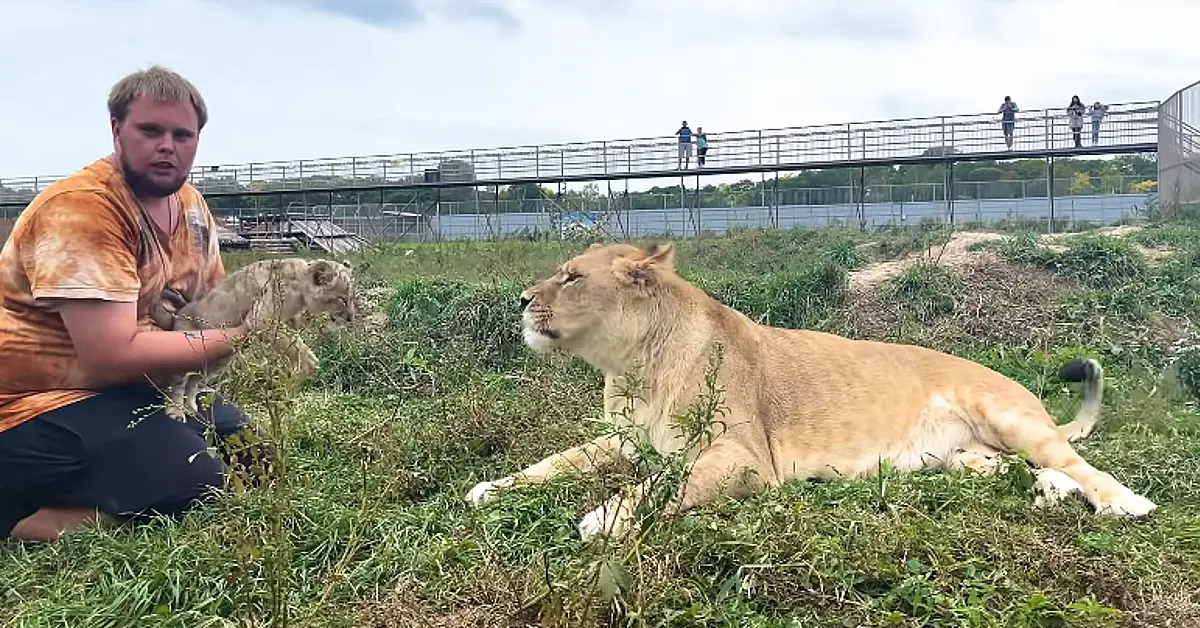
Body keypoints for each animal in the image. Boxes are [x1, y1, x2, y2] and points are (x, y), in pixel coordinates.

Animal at [151, 257, 357, 421]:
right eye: (342, 299)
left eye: (352, 298)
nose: (351, 318)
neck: (300, 285)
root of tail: (176, 316)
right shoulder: (262, 320)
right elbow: (297, 346)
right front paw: (309, 365)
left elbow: (292, 341)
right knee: (177, 383)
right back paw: (176, 411)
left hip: (216, 362)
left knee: (193, 381)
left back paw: (191, 407)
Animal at [465, 241, 1157, 542]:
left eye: (572, 277)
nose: (521, 301)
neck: (633, 365)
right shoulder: (623, 441)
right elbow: (553, 462)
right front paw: (489, 488)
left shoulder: (743, 457)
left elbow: (667, 482)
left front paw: (606, 516)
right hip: (966, 457)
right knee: (1017, 468)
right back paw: (1045, 493)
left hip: (1006, 414)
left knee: (1077, 462)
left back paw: (1124, 503)